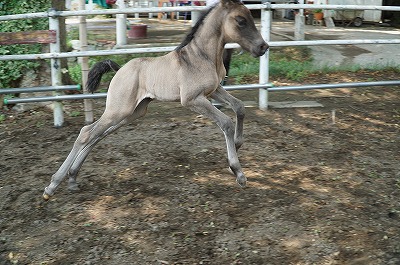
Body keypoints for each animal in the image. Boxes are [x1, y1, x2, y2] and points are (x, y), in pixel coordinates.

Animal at [43, 0, 266, 198]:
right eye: (240, 20)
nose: (263, 47)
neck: (202, 57)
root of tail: (119, 69)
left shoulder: (214, 90)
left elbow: (239, 107)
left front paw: (237, 143)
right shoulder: (192, 99)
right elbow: (226, 122)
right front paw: (238, 172)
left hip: (131, 113)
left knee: (98, 135)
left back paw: (72, 178)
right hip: (118, 110)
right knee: (86, 133)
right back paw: (52, 186)